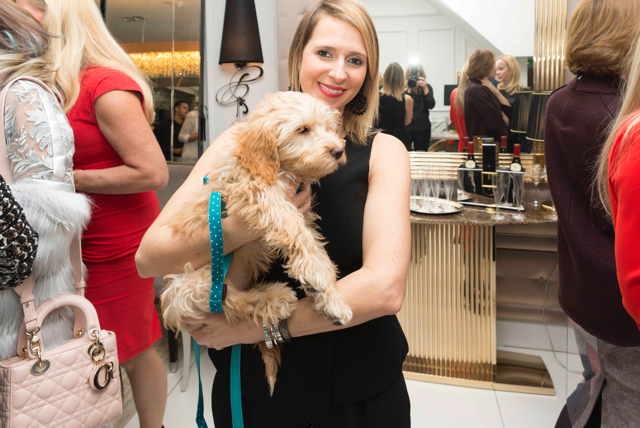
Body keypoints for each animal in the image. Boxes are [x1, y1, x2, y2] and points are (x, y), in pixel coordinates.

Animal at [159, 92, 350, 392]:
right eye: (303, 130)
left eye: (328, 128)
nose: (338, 150)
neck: (279, 169)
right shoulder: (258, 193)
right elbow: (297, 231)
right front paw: (319, 278)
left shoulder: (298, 210)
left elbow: (310, 241)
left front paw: (329, 296)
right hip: (184, 285)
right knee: (227, 300)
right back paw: (275, 297)